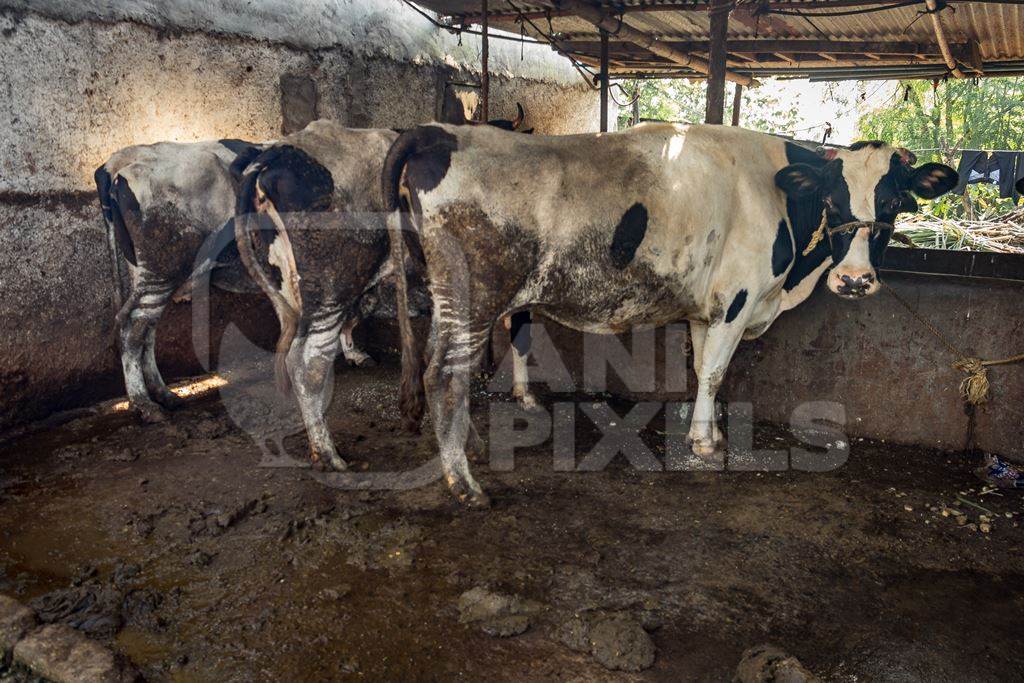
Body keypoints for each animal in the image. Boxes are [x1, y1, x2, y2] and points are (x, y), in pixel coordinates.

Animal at [385, 124, 958, 507]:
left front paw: (711, 432)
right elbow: (716, 371)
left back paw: (469, 447)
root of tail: (438, 131)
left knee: (440, 367)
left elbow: (704, 367)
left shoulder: (709, 310)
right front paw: (704, 443)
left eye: (894, 203)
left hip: (447, 296)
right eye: (832, 201)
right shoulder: (737, 298)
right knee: (443, 375)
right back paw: (465, 484)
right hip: (473, 296)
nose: (855, 280)